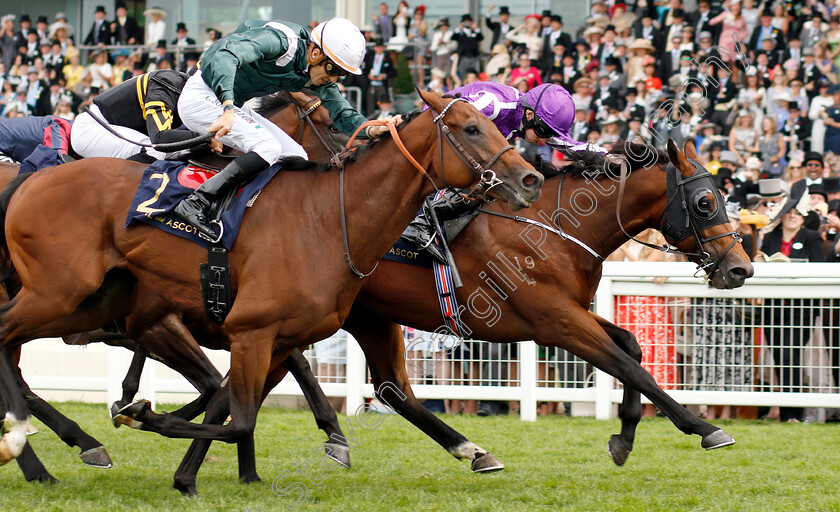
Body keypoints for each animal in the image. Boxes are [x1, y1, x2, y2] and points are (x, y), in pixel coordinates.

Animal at [0, 89, 540, 488]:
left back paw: (41, 449)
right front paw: (141, 416)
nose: (531, 178)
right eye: (471, 128)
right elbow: (236, 414)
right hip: (57, 294)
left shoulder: (277, 338)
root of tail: (29, 183)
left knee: (10, 350)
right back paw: (35, 445)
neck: (328, 219)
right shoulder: (245, 330)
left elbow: (234, 404)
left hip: (87, 302)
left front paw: (211, 470)